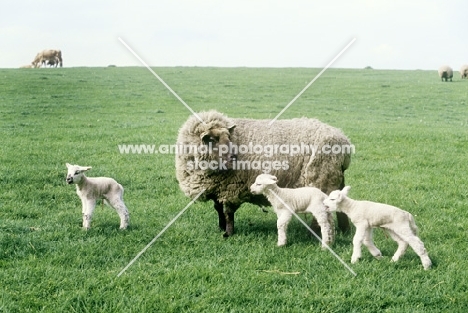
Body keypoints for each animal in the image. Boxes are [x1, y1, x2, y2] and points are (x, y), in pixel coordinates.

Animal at [176, 110, 352, 236]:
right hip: (335, 177)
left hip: (321, 177)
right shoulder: (218, 188)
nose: (234, 157)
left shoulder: (231, 187)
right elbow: (218, 208)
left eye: (228, 137)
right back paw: (345, 230)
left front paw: (228, 233)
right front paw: (221, 228)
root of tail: (344, 141)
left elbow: (228, 211)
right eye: (212, 140)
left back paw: (313, 233)